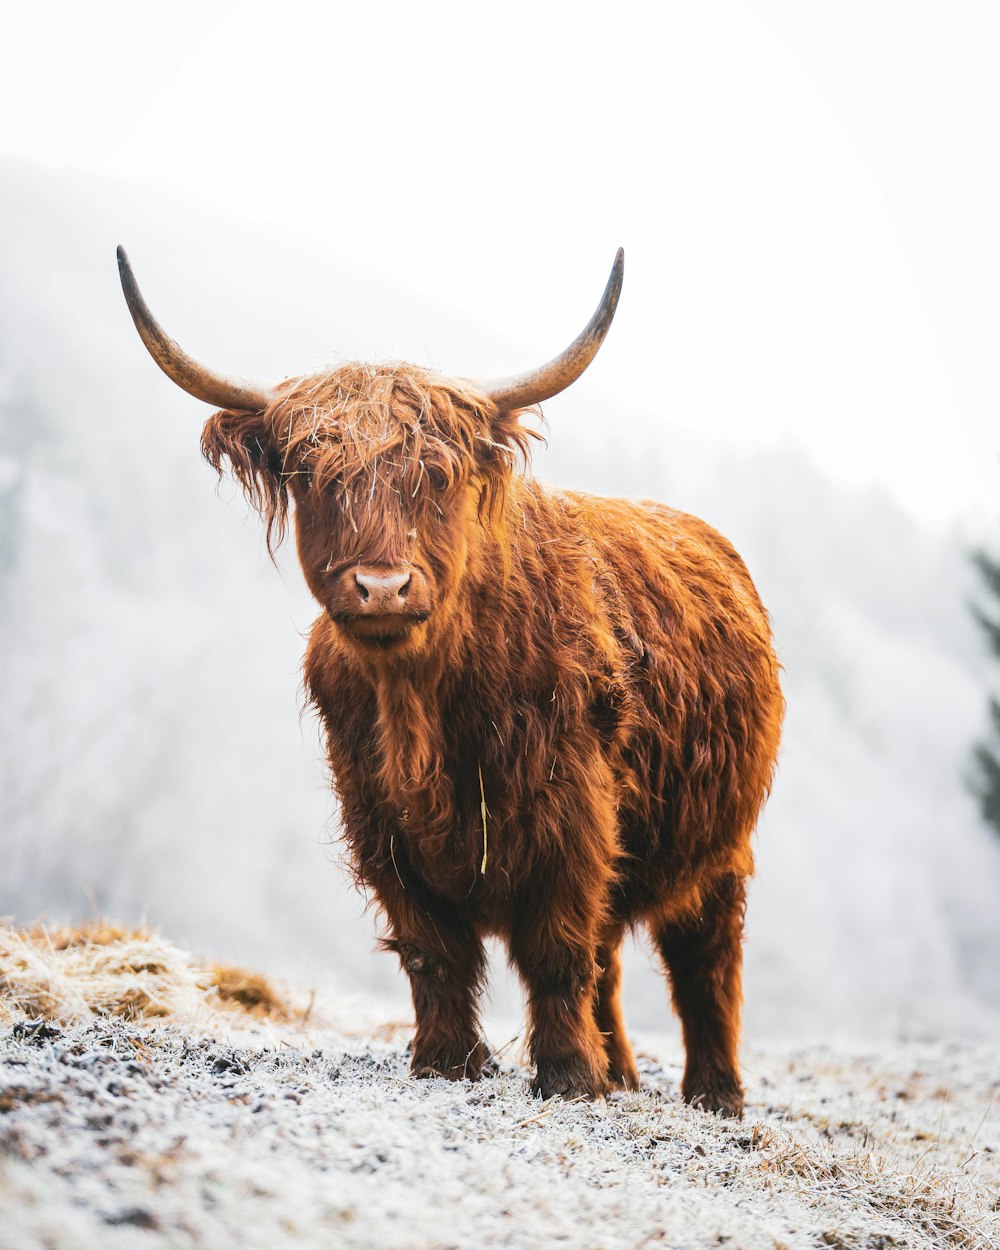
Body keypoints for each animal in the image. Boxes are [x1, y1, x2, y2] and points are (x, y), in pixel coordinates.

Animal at [119, 246, 780, 1115]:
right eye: (313, 473)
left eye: (435, 476)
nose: (382, 587)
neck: (421, 702)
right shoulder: (378, 821)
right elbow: (433, 952)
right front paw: (445, 1062)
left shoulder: (572, 813)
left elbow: (558, 949)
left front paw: (567, 1079)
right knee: (614, 959)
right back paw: (624, 1074)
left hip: (721, 846)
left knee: (706, 963)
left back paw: (713, 1095)